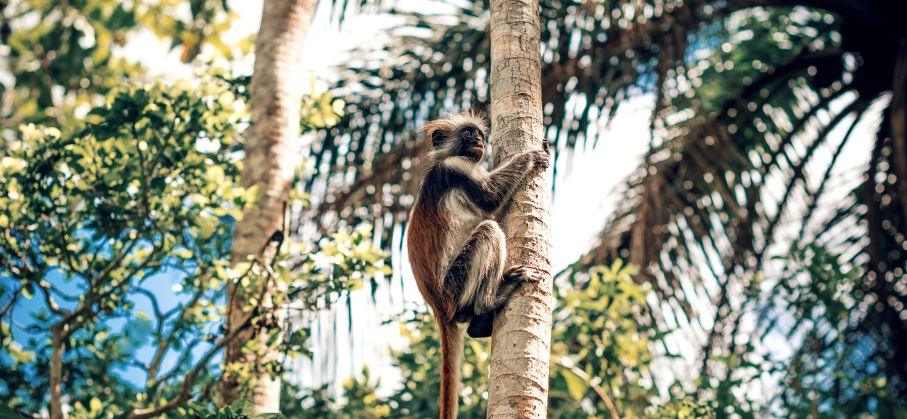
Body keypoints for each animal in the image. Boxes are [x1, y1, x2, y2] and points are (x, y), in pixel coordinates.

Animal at [408, 111, 548, 419]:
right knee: (489, 230)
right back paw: (489, 302)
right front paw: (533, 155)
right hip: (456, 284)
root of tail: (439, 307)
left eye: (480, 134)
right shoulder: (456, 167)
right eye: (469, 134)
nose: (480, 141)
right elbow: (491, 199)